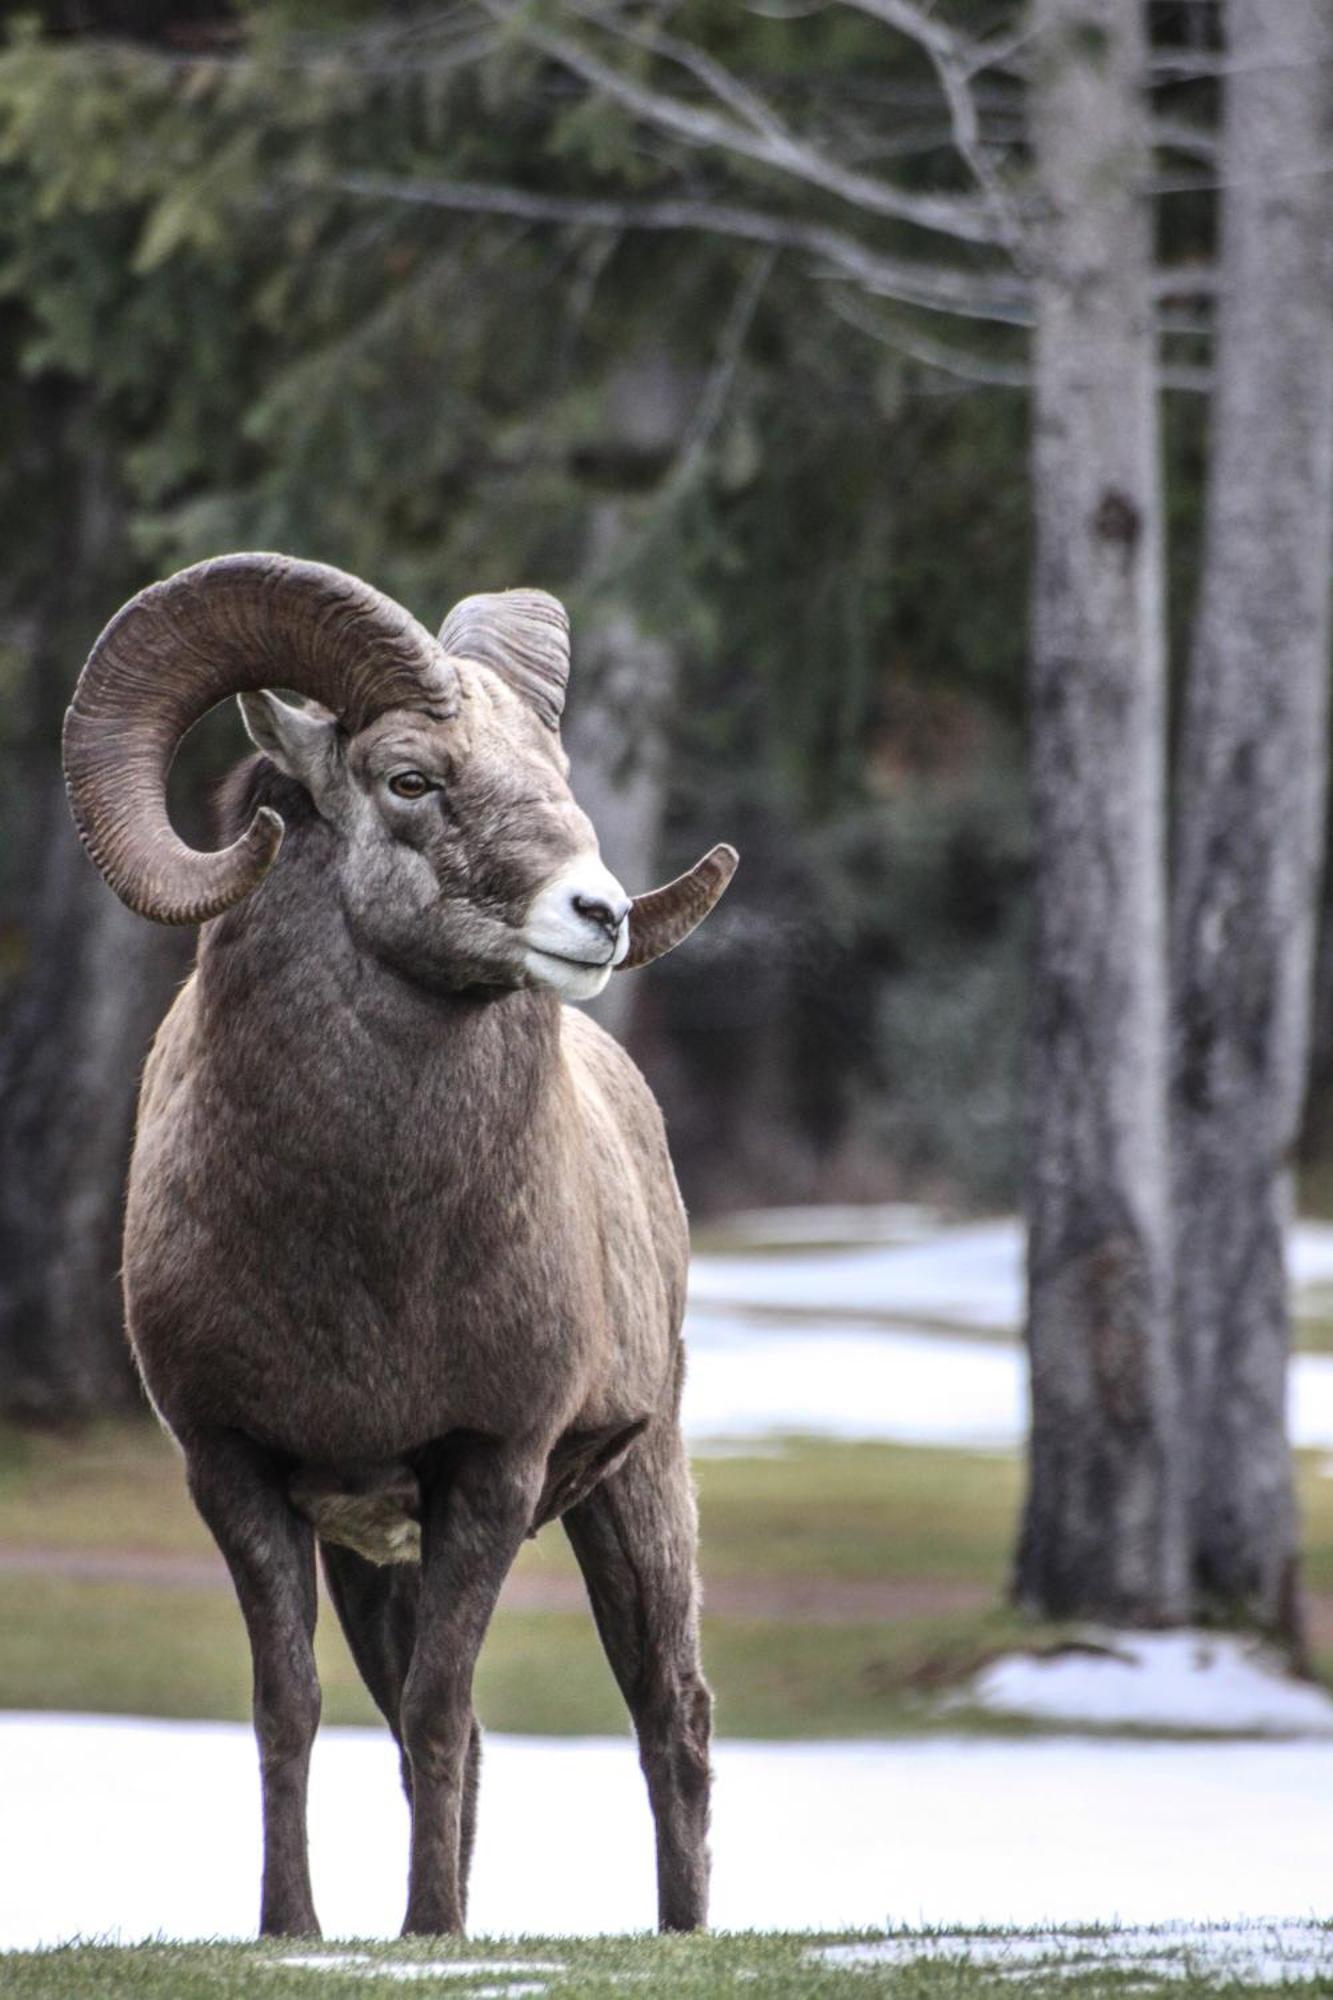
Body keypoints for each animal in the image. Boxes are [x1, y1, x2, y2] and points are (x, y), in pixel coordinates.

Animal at [59, 548, 736, 1936]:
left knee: (671, 1718)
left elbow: (438, 1710)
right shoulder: (241, 1471)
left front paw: (429, 1934)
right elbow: (294, 1710)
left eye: (555, 767)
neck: (365, 1264)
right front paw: (296, 1931)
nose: (597, 915)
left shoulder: (490, 1468)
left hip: (637, 1484)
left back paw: (680, 1933)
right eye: (410, 778)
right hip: (380, 1559)